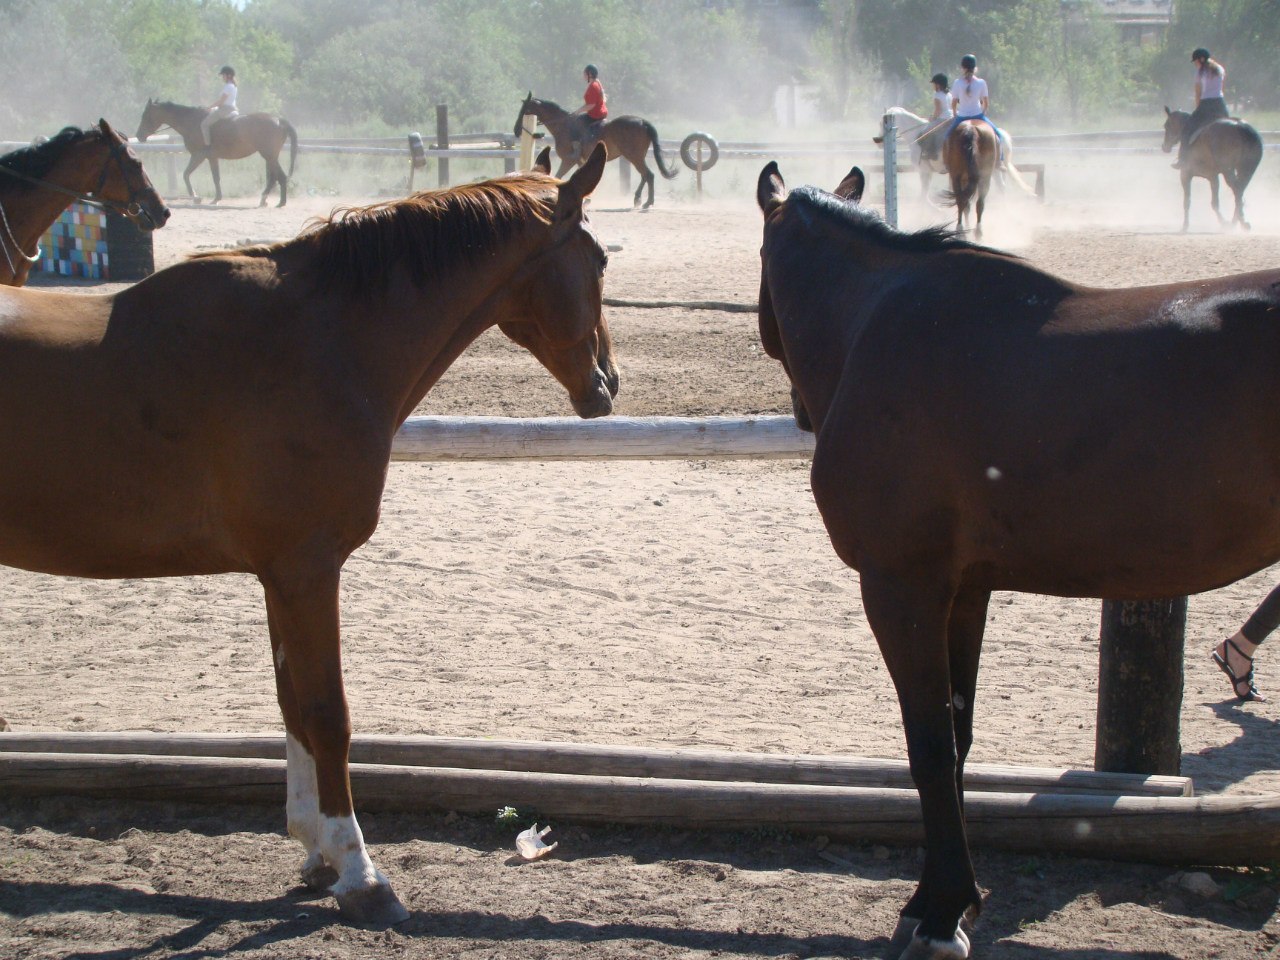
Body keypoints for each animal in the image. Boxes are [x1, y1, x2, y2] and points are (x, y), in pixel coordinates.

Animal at [0, 146, 619, 926]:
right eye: (599, 259)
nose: (608, 384)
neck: (315, 339)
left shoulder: (277, 575)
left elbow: (291, 703)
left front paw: (315, 852)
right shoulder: (307, 568)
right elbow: (328, 715)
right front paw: (360, 873)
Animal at [134, 99, 299, 208]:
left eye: (145, 116)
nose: (139, 136)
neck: (191, 122)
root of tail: (279, 120)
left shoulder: (199, 155)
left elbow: (186, 175)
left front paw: (196, 198)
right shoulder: (211, 157)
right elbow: (215, 177)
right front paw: (215, 198)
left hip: (269, 155)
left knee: (279, 177)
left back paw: (278, 202)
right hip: (270, 156)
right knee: (275, 177)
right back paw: (268, 200)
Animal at [517, 93, 686, 208]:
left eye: (525, 109)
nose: (516, 129)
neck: (564, 126)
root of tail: (643, 122)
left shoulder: (568, 160)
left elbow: (558, 176)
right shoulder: (579, 160)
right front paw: (586, 199)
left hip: (634, 156)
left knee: (648, 175)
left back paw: (646, 202)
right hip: (636, 156)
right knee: (645, 175)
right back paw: (639, 199)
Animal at [752, 161, 1280, 957]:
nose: (798, 412)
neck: (880, 323)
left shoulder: (901, 588)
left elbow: (929, 746)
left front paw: (941, 913)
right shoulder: (964, 591)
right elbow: (959, 736)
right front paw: (940, 901)